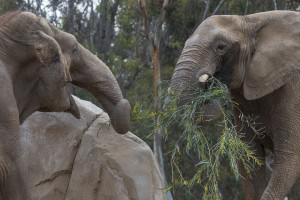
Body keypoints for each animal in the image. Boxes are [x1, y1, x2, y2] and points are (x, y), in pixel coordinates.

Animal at [170, 10, 300, 200]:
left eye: (220, 47)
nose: (209, 83)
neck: (251, 20)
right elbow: (249, 161)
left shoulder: (294, 92)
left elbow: (289, 159)